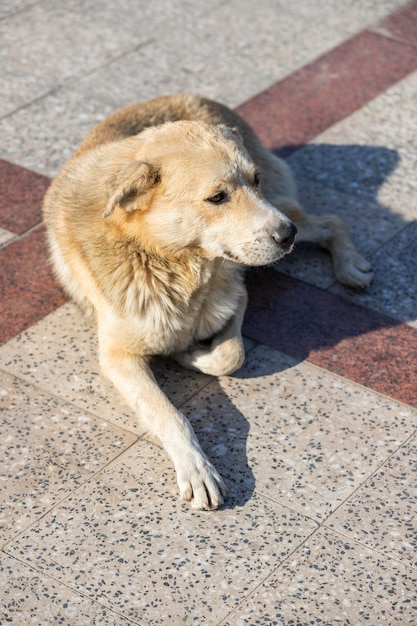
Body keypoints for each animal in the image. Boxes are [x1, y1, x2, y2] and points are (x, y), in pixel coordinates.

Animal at [44, 95, 372, 510]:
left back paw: (351, 265)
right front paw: (197, 468)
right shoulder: (117, 356)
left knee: (331, 220)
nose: (287, 235)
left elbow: (232, 355)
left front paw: (190, 354)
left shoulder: (236, 293)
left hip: (285, 208)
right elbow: (169, 413)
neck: (172, 263)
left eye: (255, 180)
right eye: (217, 197)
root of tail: (199, 98)